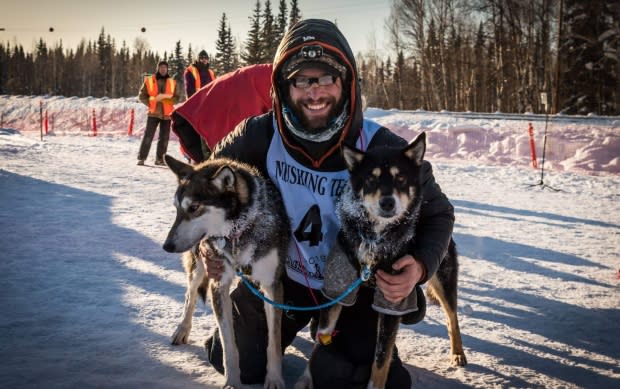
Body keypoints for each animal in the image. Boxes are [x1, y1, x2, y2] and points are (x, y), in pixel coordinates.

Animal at [163, 155, 292, 388]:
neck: (239, 231)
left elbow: (274, 342)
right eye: (177, 208)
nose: (166, 246)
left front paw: (275, 378)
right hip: (199, 265)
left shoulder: (272, 285)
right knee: (190, 294)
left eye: (194, 207)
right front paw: (232, 382)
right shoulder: (219, 283)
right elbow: (229, 345)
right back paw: (182, 329)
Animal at [296, 133, 464, 388]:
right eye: (371, 179)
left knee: (452, 316)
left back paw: (458, 353)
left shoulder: (394, 300)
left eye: (400, 178)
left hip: (443, 276)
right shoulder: (339, 286)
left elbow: (381, 359)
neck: (374, 239)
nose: (387, 202)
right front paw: (307, 377)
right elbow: (322, 336)